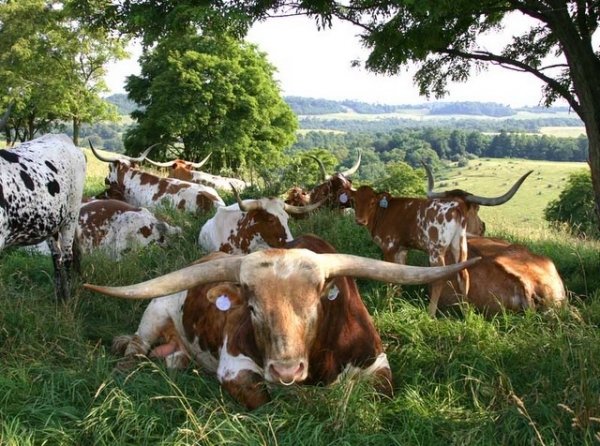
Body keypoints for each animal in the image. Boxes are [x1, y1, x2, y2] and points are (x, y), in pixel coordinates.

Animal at [0, 132, 86, 300]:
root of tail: (61, 136)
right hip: (52, 222)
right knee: (56, 256)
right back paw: (58, 296)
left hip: (71, 214)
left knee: (67, 256)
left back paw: (68, 298)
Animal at [83, 235, 478, 410]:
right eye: (253, 308)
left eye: (313, 306)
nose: (287, 370)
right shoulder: (235, 366)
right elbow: (266, 397)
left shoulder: (377, 365)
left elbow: (378, 391)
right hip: (154, 311)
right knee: (135, 346)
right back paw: (122, 369)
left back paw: (178, 359)